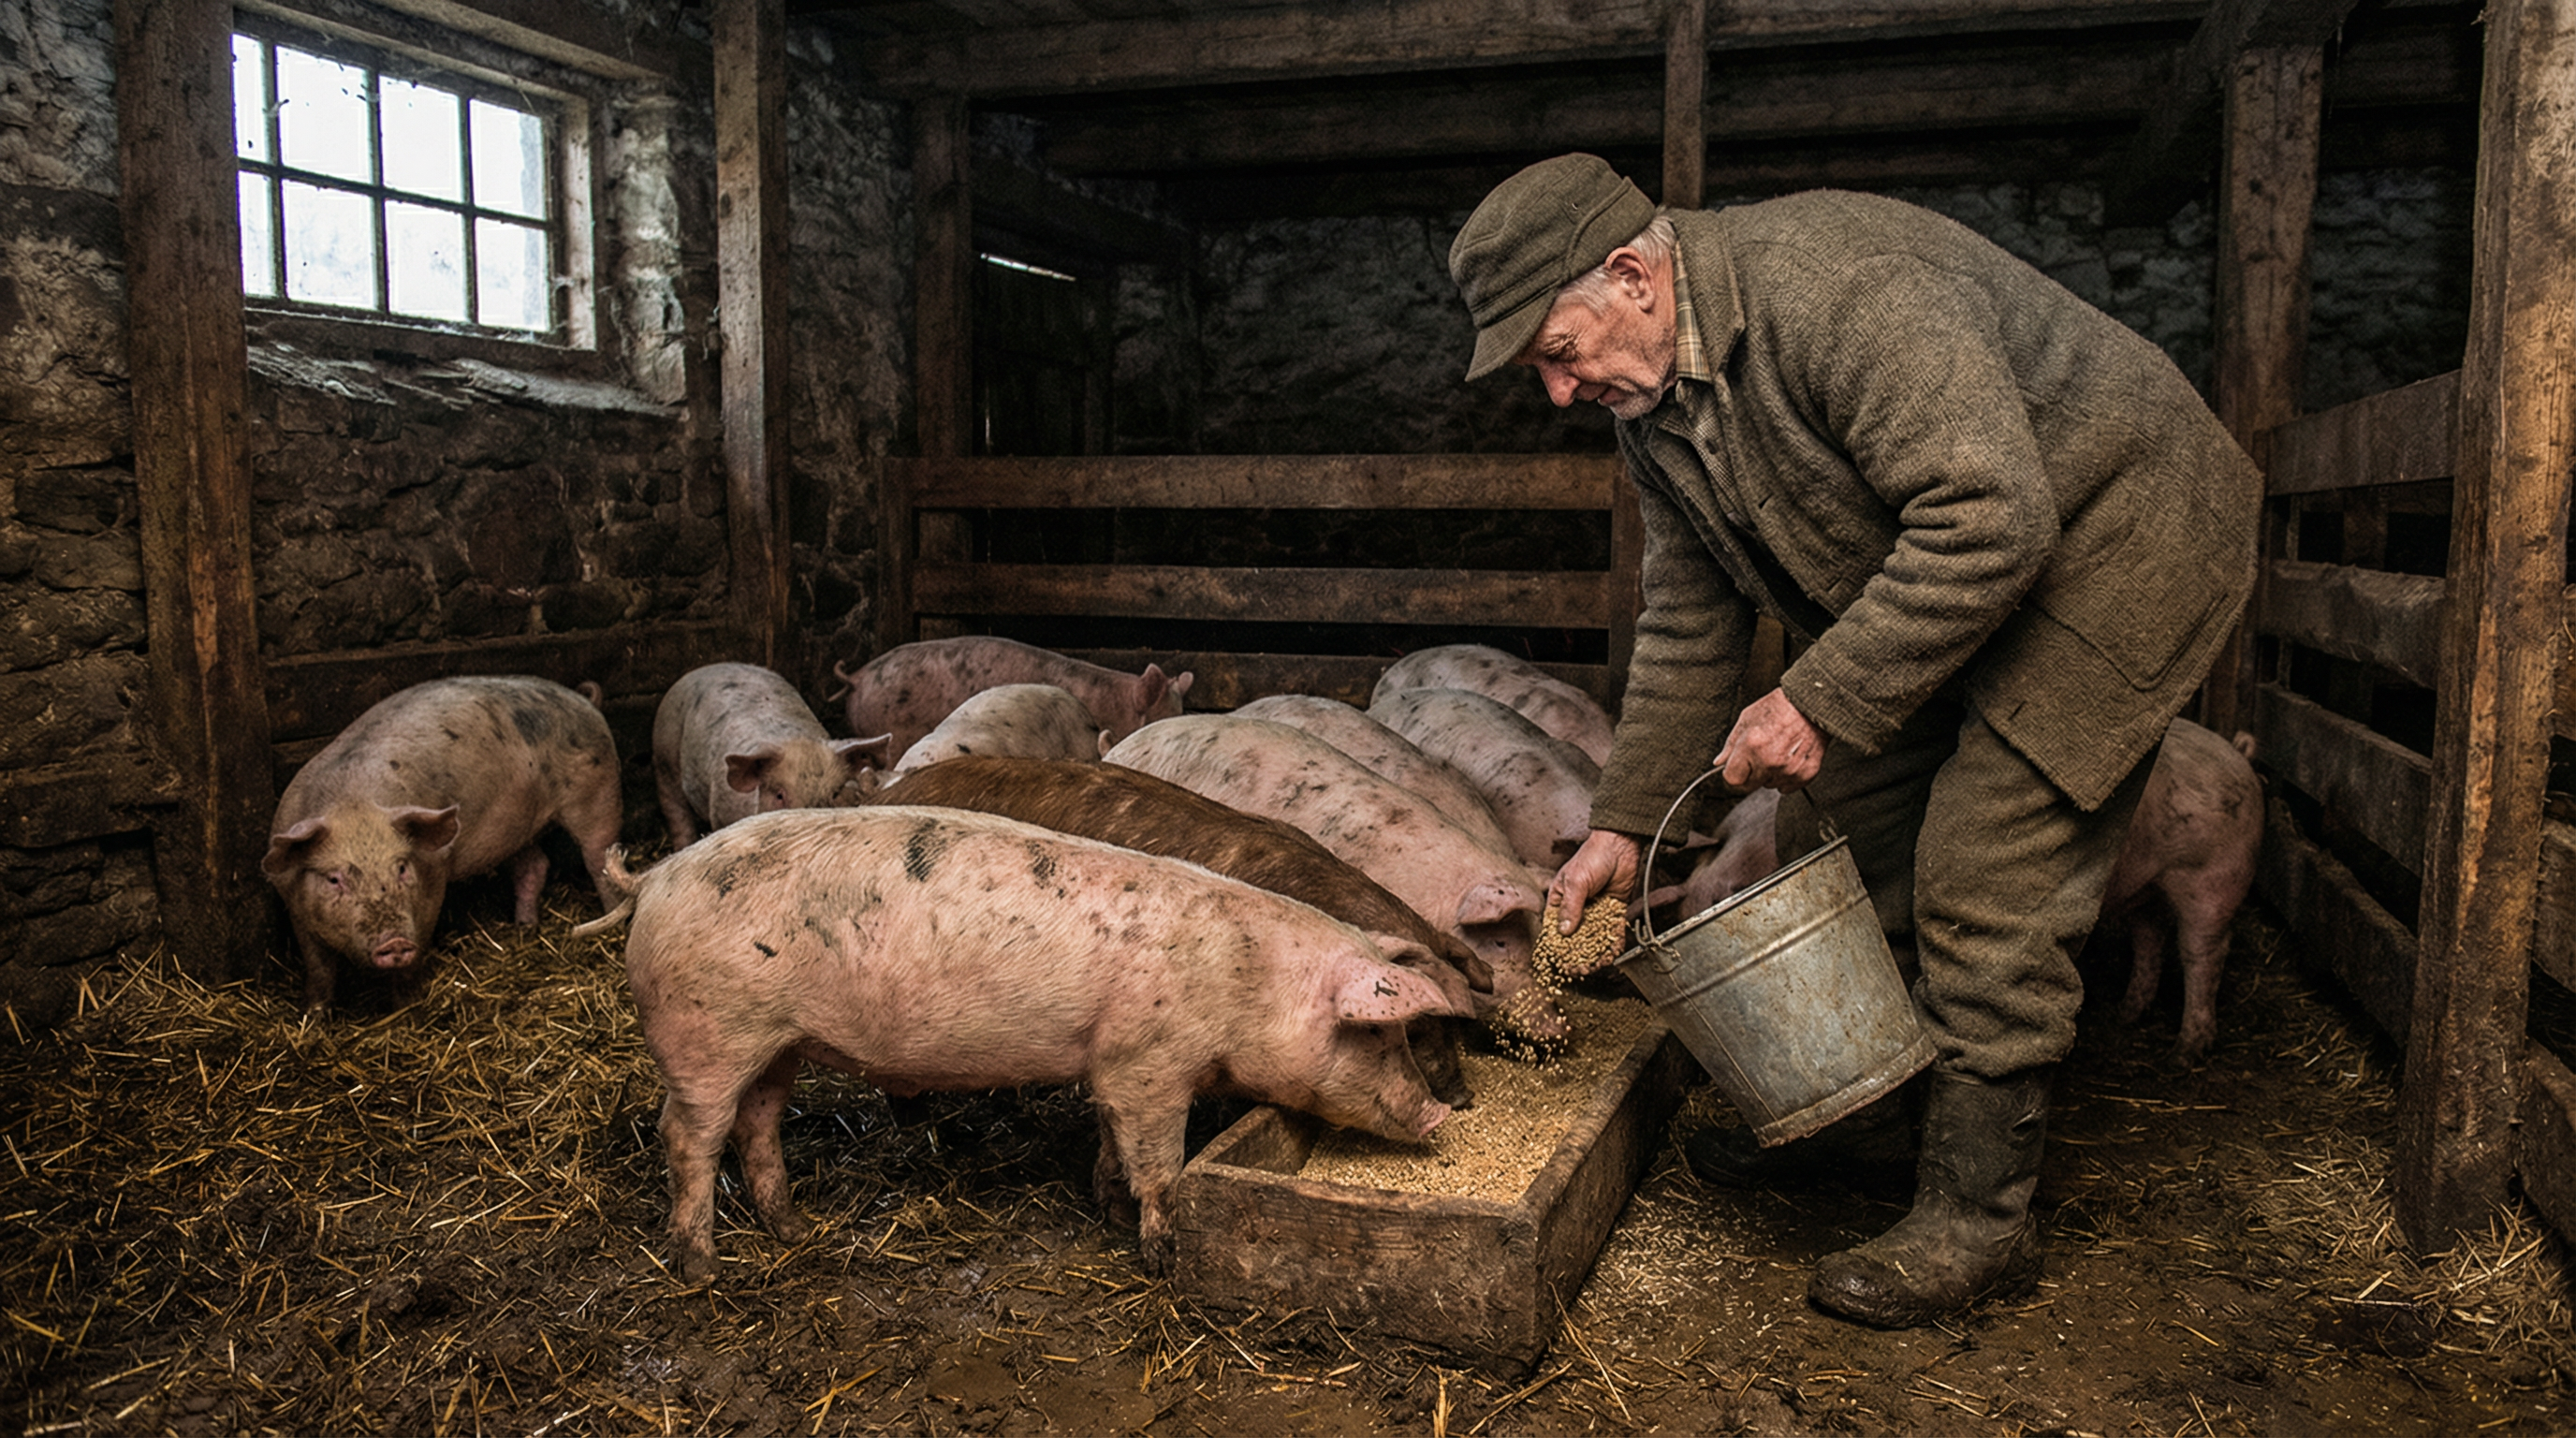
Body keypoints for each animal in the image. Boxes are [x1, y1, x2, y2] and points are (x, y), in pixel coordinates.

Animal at [262, 675, 622, 1011]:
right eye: (334, 879)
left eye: (402, 868)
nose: (393, 941)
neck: (352, 804)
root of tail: (584, 700)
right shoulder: (295, 909)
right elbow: (319, 969)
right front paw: (315, 1015)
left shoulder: (434, 878)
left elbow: (415, 956)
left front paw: (405, 1010)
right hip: (516, 827)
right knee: (534, 866)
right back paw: (524, 929)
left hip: (599, 793)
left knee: (600, 861)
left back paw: (609, 923)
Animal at [614, 805, 1464, 1279]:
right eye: (1381, 1038)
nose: (1440, 1114)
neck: (1246, 982)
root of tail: (654, 877)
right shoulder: (1151, 1064)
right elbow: (1160, 1163)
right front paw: (1161, 1254)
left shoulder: (1112, 1065)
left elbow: (1111, 1144)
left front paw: (1109, 1208)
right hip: (707, 1032)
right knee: (687, 1134)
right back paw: (701, 1267)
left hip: (776, 1042)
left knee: (758, 1124)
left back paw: (793, 1228)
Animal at [2099, 719, 2263, 1065]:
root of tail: (2235, 751)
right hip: (2145, 883)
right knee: (2150, 937)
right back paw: (2125, 1015)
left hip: (2212, 881)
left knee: (2202, 952)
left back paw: (2184, 1054)